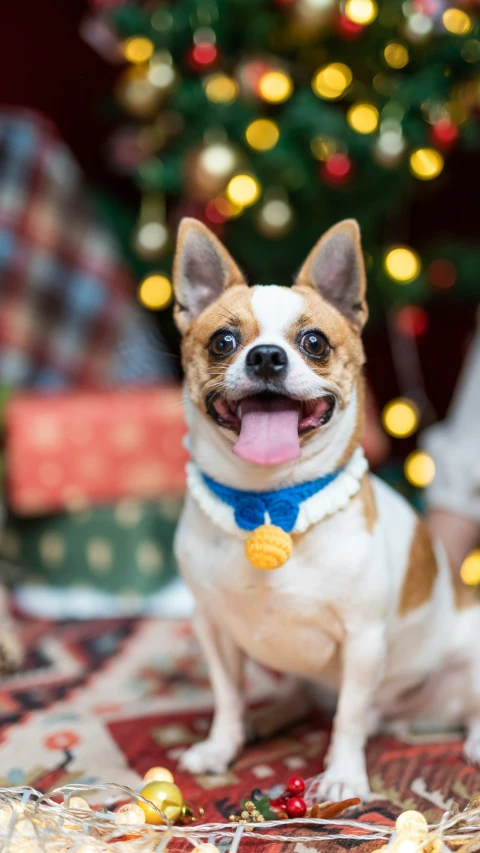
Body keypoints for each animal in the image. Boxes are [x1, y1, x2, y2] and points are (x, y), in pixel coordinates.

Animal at [172, 215, 480, 800]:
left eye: (313, 342)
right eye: (224, 340)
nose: (266, 356)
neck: (270, 503)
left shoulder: (363, 641)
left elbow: (348, 718)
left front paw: (341, 776)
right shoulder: (212, 629)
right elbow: (227, 695)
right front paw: (223, 745)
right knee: (300, 695)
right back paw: (267, 717)